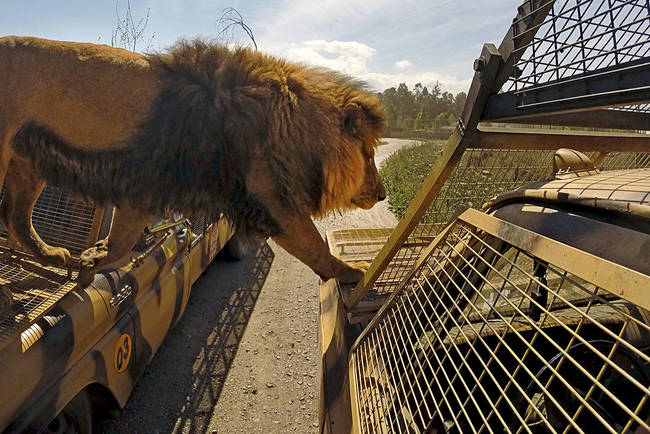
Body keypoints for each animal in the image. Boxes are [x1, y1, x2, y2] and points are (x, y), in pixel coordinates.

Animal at [0, 37, 384, 288]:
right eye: (368, 155)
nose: (382, 195)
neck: (291, 123)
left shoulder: (143, 189)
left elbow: (121, 240)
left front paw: (93, 259)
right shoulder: (274, 202)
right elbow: (315, 247)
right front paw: (355, 271)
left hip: (28, 162)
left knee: (15, 216)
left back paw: (54, 256)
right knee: (12, 214)